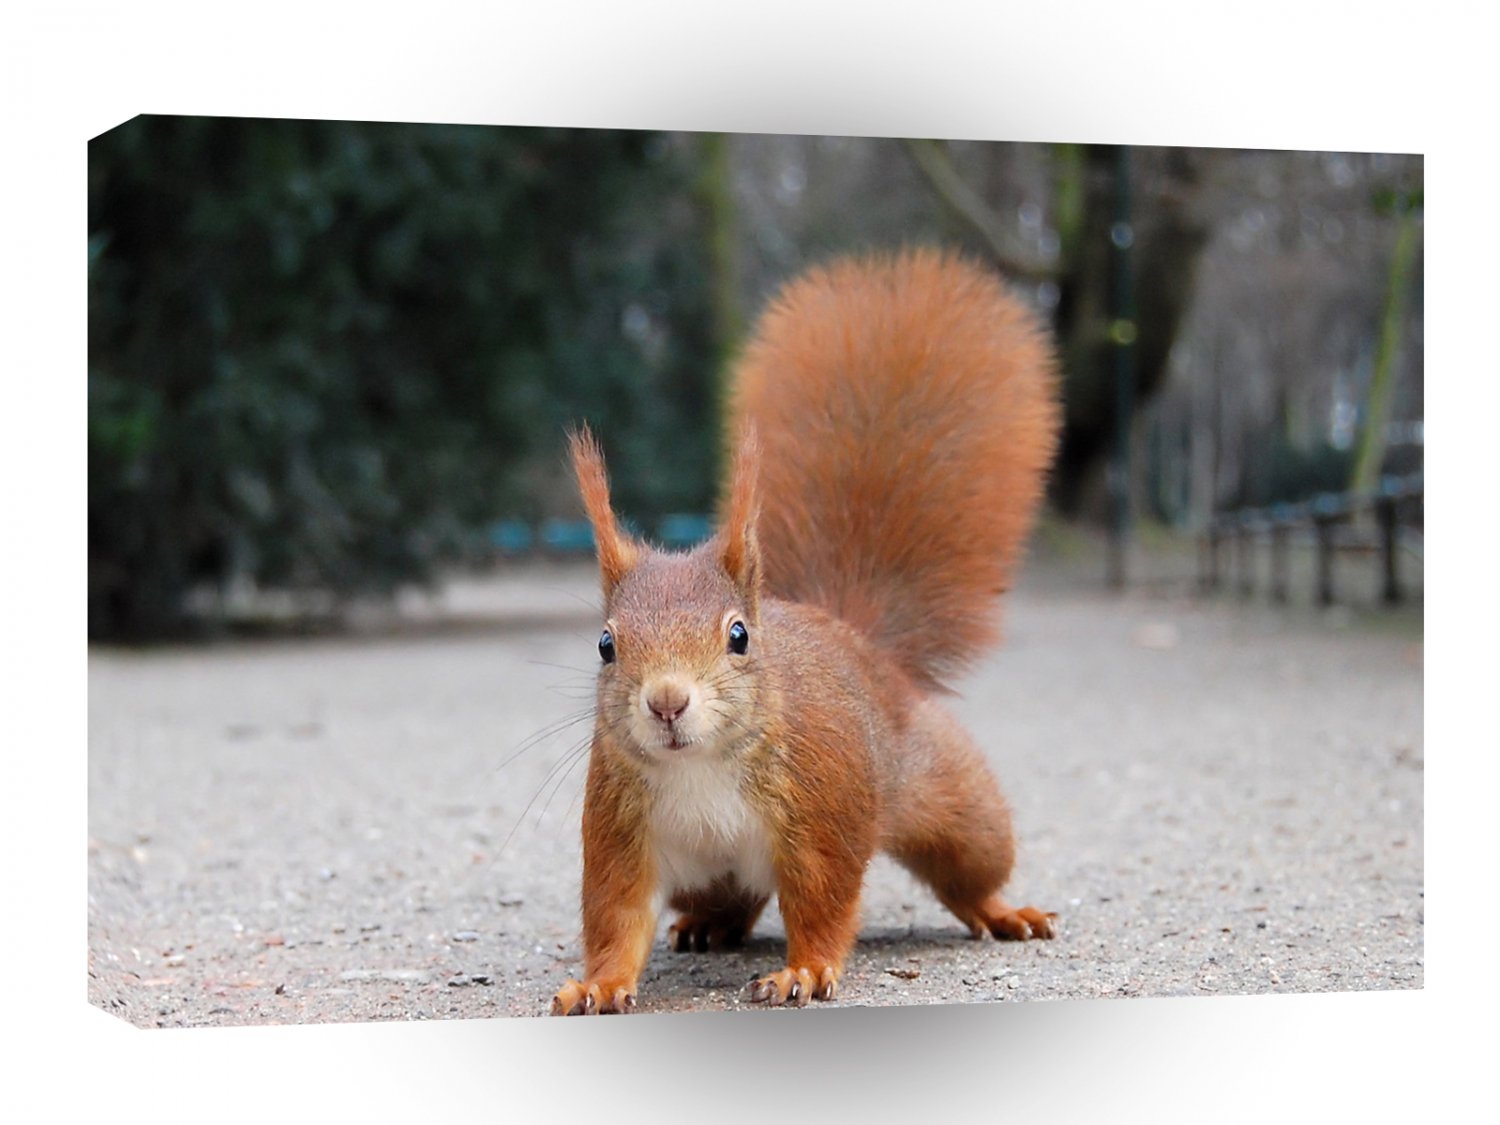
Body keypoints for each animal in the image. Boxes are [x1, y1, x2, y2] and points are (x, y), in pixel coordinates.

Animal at [550, 247, 1062, 1015]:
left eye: (739, 636)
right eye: (606, 645)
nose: (667, 702)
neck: (700, 766)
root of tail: (859, 640)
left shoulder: (824, 811)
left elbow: (823, 900)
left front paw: (805, 970)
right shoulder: (618, 827)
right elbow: (616, 914)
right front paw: (600, 982)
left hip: (954, 801)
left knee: (971, 868)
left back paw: (1003, 911)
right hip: (710, 873)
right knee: (731, 898)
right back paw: (706, 926)